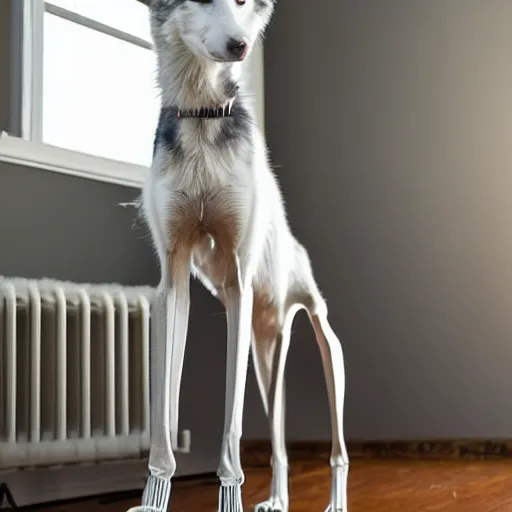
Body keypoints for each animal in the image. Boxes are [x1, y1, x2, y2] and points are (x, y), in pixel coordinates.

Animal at [130, 1, 350, 512]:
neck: (202, 112)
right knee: (279, 439)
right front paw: (154, 497)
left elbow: (231, 426)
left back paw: (335, 500)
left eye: (245, 3)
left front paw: (229, 494)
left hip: (322, 340)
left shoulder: (238, 285)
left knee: (336, 445)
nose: (241, 47)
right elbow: (164, 420)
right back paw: (279, 499)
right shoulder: (172, 285)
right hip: (266, 355)